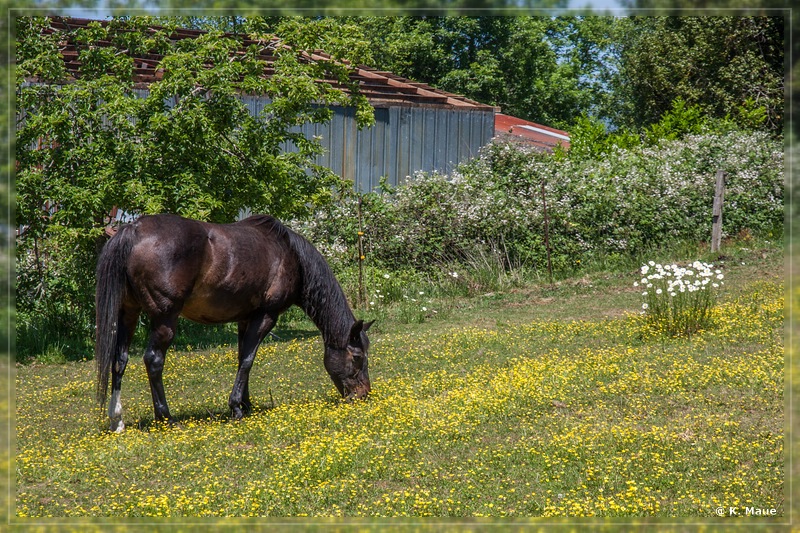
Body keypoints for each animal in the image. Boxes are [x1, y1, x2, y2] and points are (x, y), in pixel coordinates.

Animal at [94, 213, 372, 432]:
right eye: (358, 357)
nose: (363, 395)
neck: (290, 255)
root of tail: (134, 230)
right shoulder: (266, 317)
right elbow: (248, 360)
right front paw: (236, 408)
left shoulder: (245, 319)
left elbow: (242, 359)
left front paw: (246, 404)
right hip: (165, 319)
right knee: (153, 360)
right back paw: (166, 418)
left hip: (128, 313)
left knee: (119, 360)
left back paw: (117, 420)